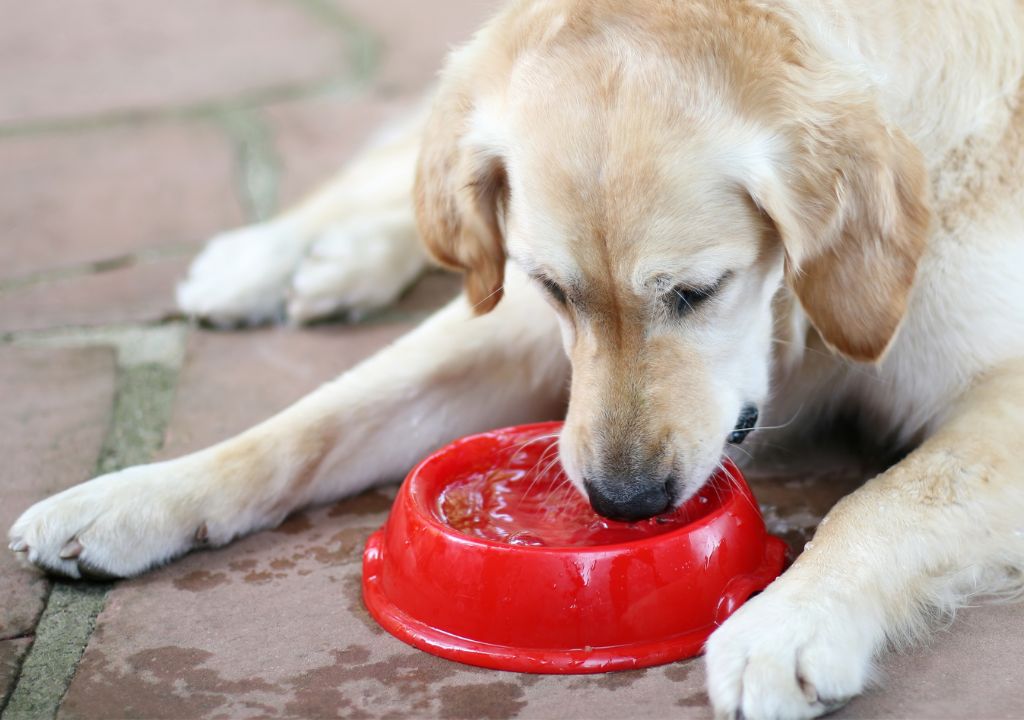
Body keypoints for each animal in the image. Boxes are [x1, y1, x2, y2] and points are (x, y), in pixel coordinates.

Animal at [9, 0, 1024, 716]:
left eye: (698, 291)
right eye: (554, 288)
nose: (624, 502)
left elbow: (885, 500)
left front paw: (789, 624)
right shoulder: (516, 321)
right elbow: (312, 420)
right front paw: (133, 497)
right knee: (415, 178)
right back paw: (273, 256)